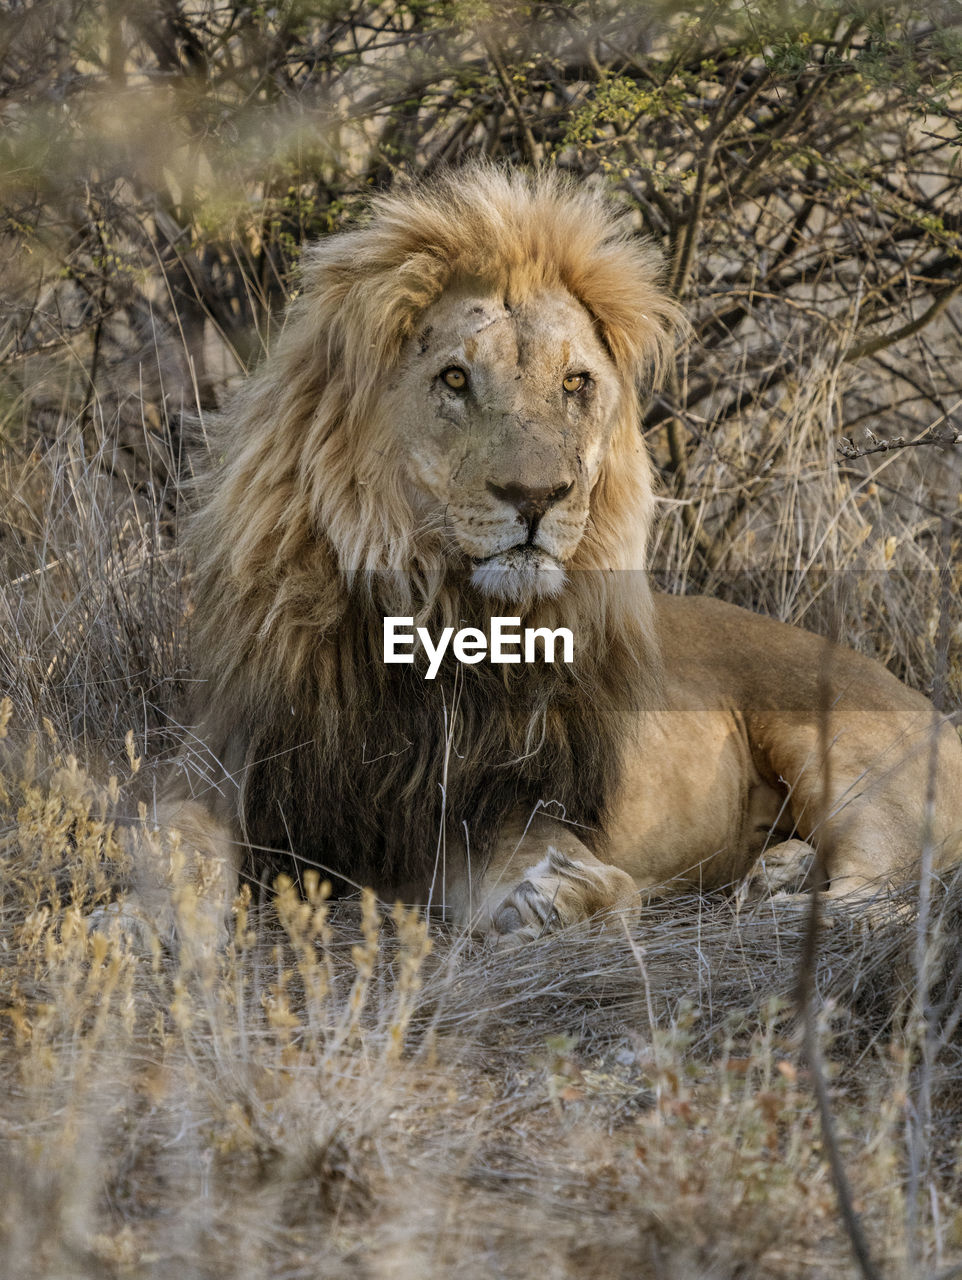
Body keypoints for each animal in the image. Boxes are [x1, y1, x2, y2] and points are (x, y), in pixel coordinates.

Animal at [148, 160, 961, 947]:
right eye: (454, 378)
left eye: (575, 383)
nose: (536, 497)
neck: (429, 606)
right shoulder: (225, 758)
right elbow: (173, 842)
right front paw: (153, 924)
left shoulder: (487, 799)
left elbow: (563, 872)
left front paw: (554, 898)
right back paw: (776, 870)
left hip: (856, 765)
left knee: (893, 892)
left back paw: (780, 905)